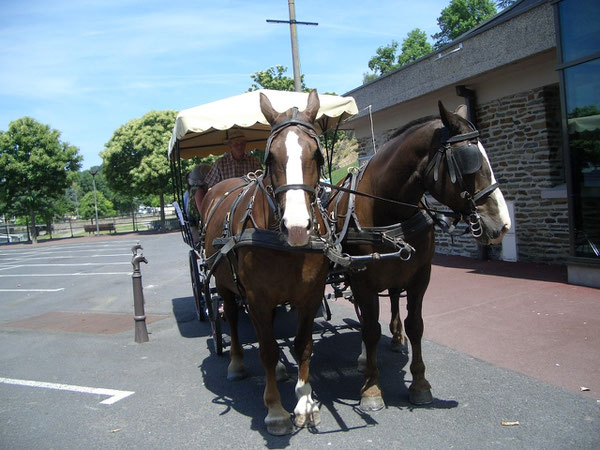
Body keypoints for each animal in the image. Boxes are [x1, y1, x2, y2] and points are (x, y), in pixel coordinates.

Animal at [200, 89, 328, 434]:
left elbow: (303, 346)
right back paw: (235, 363)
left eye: (317, 155)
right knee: (232, 317)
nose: (297, 227)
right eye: (271, 158)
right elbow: (268, 350)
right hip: (224, 283)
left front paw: (304, 402)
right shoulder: (256, 297)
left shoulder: (310, 296)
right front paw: (276, 410)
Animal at [328, 102, 510, 412]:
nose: (501, 224)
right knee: (365, 317)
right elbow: (371, 329)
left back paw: (395, 337)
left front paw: (420, 384)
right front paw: (372, 388)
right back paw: (364, 355)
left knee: (392, 298)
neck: (388, 209)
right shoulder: (362, 280)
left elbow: (416, 325)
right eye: (470, 163)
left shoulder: (419, 276)